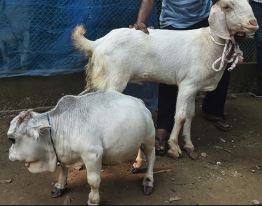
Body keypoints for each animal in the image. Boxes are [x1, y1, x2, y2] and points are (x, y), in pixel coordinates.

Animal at [71, 0, 258, 159]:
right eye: (228, 6)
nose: (253, 23)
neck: (208, 42)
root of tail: (97, 43)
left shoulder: (194, 86)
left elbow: (190, 115)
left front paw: (189, 145)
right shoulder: (187, 85)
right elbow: (180, 116)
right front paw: (174, 147)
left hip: (99, 79)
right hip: (114, 79)